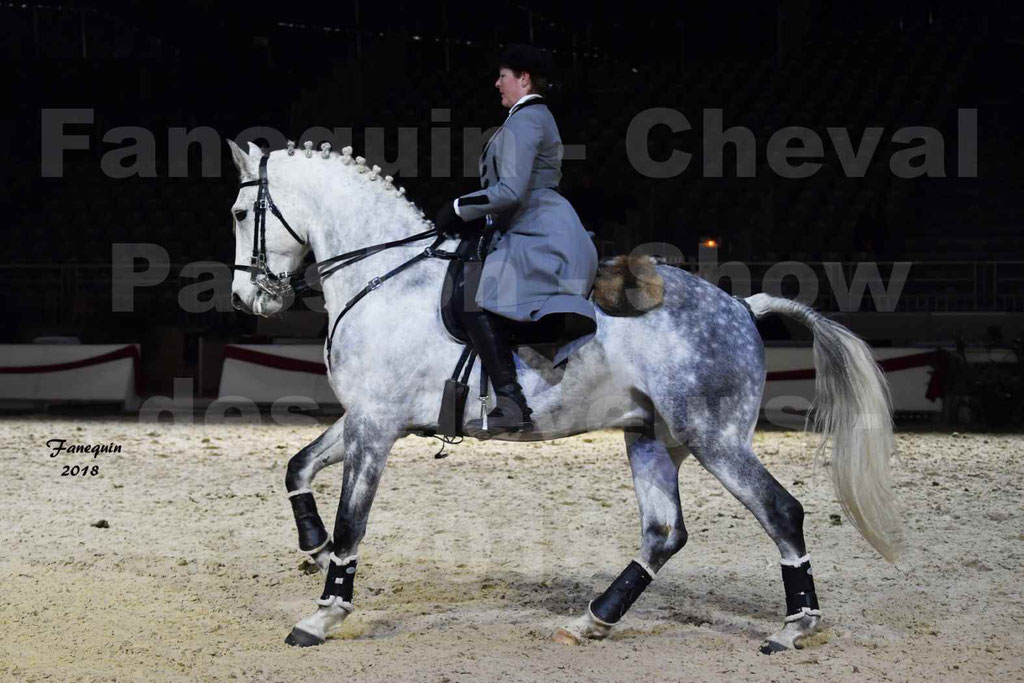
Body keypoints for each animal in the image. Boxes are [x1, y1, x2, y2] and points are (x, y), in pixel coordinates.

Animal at [226, 137, 905, 651]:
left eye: (237, 214)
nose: (246, 300)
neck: (385, 278)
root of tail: (741, 305)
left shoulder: (375, 425)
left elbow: (353, 521)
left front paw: (323, 614)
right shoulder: (367, 418)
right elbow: (297, 467)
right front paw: (314, 549)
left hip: (715, 437)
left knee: (781, 511)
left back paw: (795, 627)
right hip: (651, 437)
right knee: (664, 532)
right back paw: (593, 619)